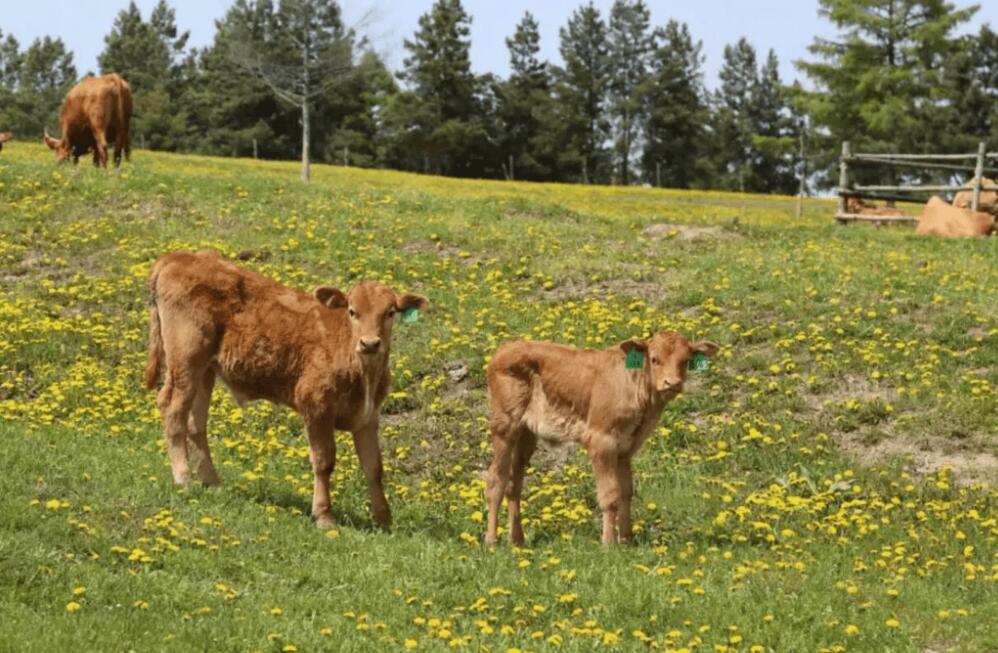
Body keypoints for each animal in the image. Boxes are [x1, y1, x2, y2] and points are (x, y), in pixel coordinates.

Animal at [146, 250, 428, 528]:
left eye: (390, 312)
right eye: (352, 311)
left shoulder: (368, 417)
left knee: (196, 423)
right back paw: (183, 477)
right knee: (172, 408)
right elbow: (324, 461)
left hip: (205, 370)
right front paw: (324, 516)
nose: (369, 343)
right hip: (186, 359)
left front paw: (384, 519)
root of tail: (177, 257)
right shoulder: (316, 407)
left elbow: (374, 467)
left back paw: (212, 482)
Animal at [484, 332, 720, 544]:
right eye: (654, 359)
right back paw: (492, 541)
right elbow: (610, 495)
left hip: (526, 434)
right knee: (497, 478)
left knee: (514, 483)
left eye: (686, 361)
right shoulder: (601, 440)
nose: (672, 383)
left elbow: (626, 492)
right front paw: (609, 543)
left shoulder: (626, 448)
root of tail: (507, 347)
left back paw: (517, 539)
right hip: (504, 425)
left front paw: (627, 539)